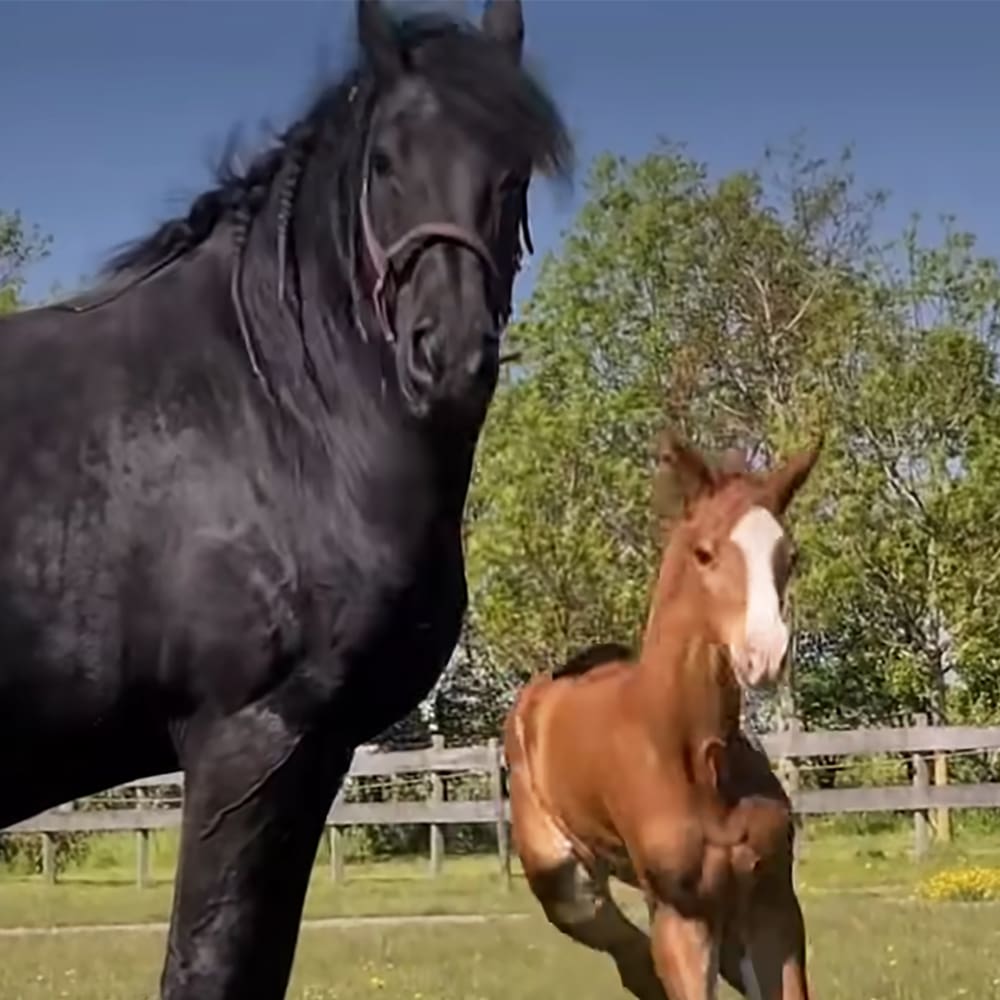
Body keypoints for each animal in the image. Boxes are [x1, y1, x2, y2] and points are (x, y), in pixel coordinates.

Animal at [0, 2, 571, 996]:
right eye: (384, 161)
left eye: (513, 171)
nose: (448, 357)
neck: (269, 408)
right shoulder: (249, 742)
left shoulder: (315, 755)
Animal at [503, 432, 821, 1000]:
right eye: (704, 553)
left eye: (791, 555)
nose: (764, 654)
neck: (693, 755)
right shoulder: (681, 915)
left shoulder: (773, 905)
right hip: (567, 888)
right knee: (632, 958)